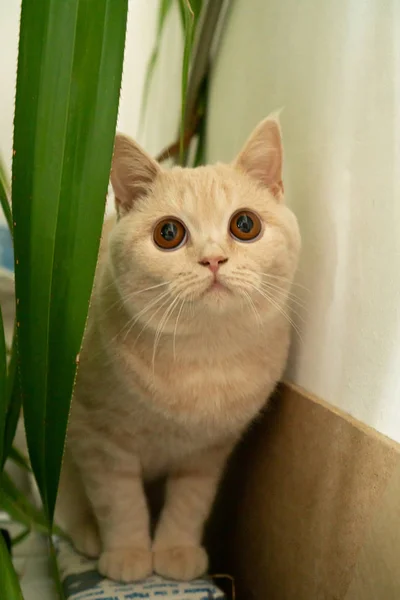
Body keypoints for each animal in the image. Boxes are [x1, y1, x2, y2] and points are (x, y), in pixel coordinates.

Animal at [55, 112, 300, 580]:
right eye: (168, 233)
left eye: (245, 225)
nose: (213, 259)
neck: (203, 357)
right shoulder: (96, 439)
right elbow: (120, 501)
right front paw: (130, 553)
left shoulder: (209, 452)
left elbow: (189, 503)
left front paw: (175, 550)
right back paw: (87, 534)